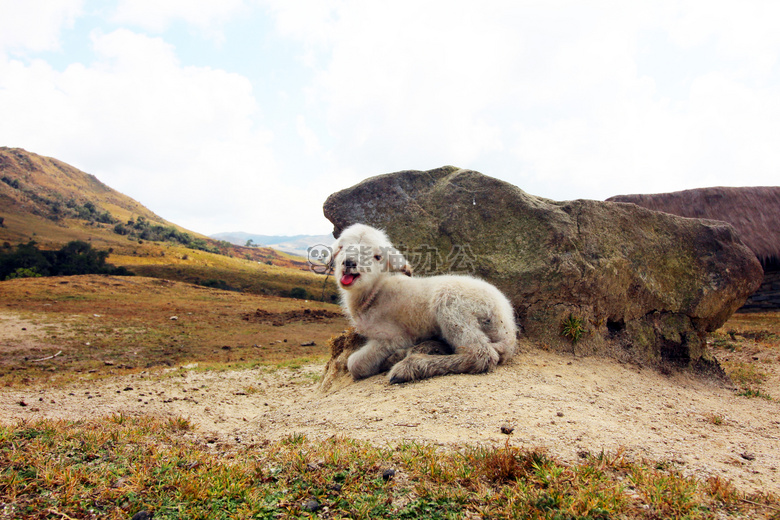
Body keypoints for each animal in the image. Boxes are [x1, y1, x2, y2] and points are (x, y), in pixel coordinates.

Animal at [330, 221, 516, 384]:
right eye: (341, 248)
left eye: (377, 257)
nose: (349, 263)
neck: (374, 294)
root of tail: (508, 327)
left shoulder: (395, 337)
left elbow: (354, 364)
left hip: (452, 305)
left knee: (481, 354)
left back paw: (408, 366)